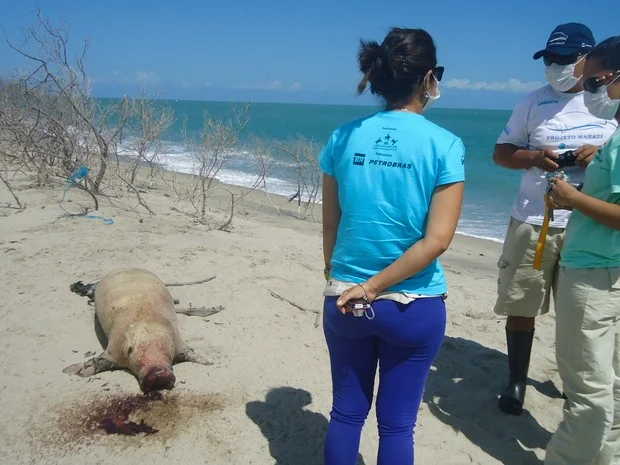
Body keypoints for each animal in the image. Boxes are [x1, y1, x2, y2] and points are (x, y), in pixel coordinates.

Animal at [63, 268, 218, 392]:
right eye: (130, 351)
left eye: (167, 351)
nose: (158, 374)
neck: (147, 324)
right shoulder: (114, 349)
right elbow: (98, 362)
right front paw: (70, 370)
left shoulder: (179, 343)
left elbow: (191, 353)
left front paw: (209, 362)